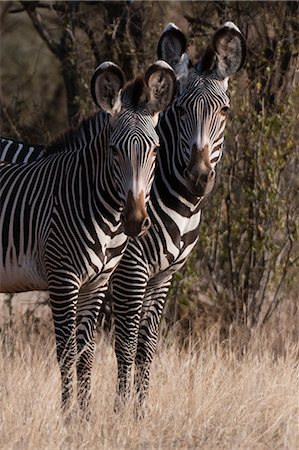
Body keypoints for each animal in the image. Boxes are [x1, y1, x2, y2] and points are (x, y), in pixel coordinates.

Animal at [0, 59, 177, 414]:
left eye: (155, 150)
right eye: (114, 151)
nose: (135, 221)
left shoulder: (96, 283)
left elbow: (86, 352)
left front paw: (84, 416)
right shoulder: (63, 278)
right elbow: (67, 351)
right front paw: (68, 416)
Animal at [109, 22, 247, 410]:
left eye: (224, 110)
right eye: (181, 110)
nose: (199, 177)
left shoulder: (163, 277)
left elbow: (147, 348)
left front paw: (140, 411)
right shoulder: (131, 272)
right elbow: (126, 346)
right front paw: (120, 413)